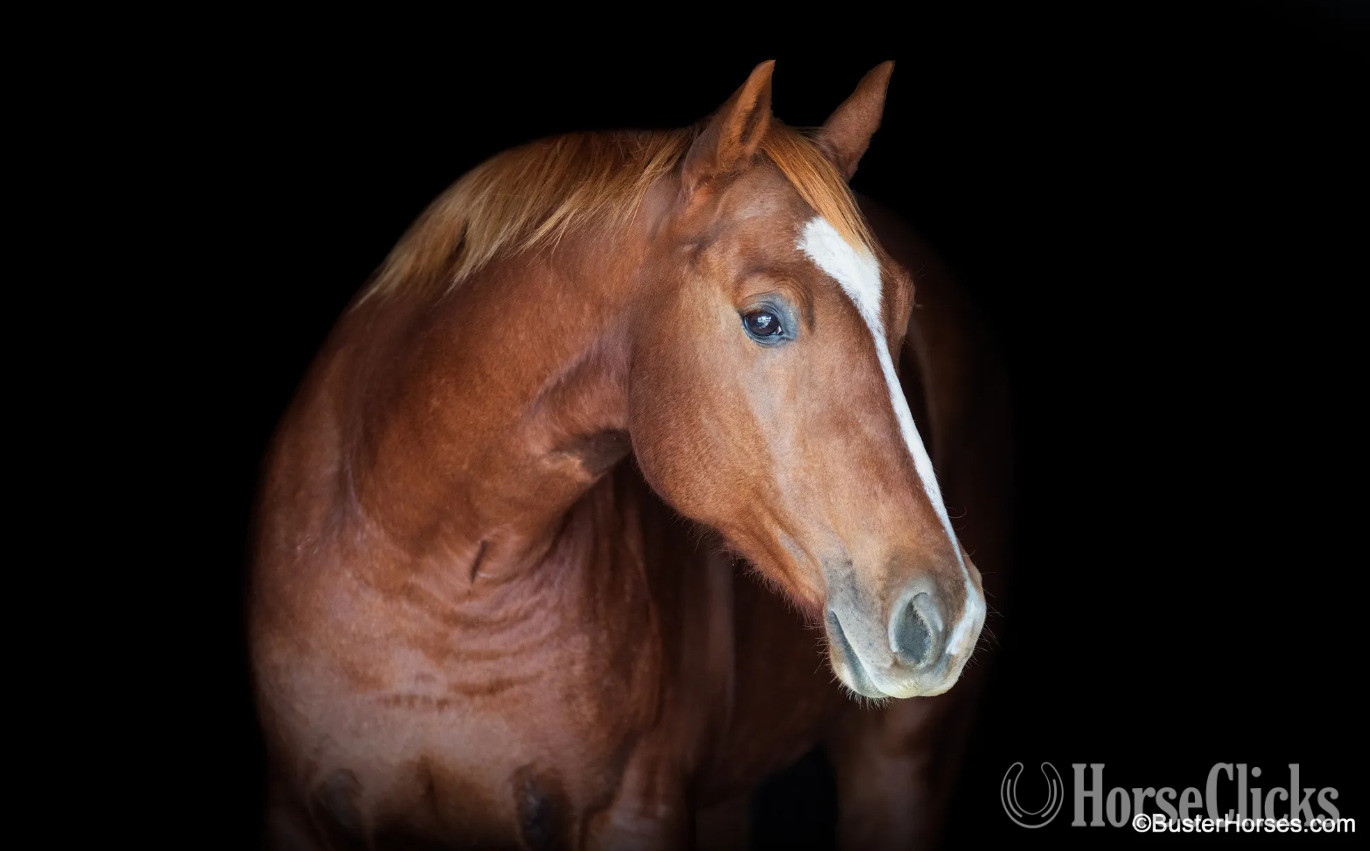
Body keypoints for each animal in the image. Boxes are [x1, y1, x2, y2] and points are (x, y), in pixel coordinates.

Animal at [250, 60, 1011, 850]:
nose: (948, 615)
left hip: (899, 774)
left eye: (903, 310)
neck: (429, 572)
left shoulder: (638, 811)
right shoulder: (294, 811)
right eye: (764, 319)